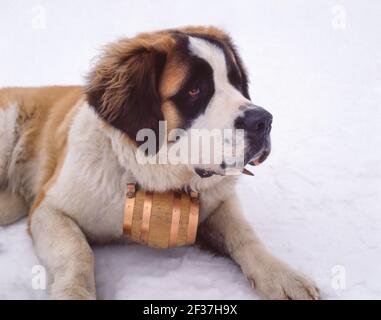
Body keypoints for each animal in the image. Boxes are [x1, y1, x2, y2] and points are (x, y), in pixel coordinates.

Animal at [0, 26, 318, 298]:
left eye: (236, 83)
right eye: (194, 90)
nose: (263, 121)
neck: (147, 174)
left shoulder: (216, 203)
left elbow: (244, 234)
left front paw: (282, 276)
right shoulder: (49, 208)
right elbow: (76, 252)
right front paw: (74, 293)